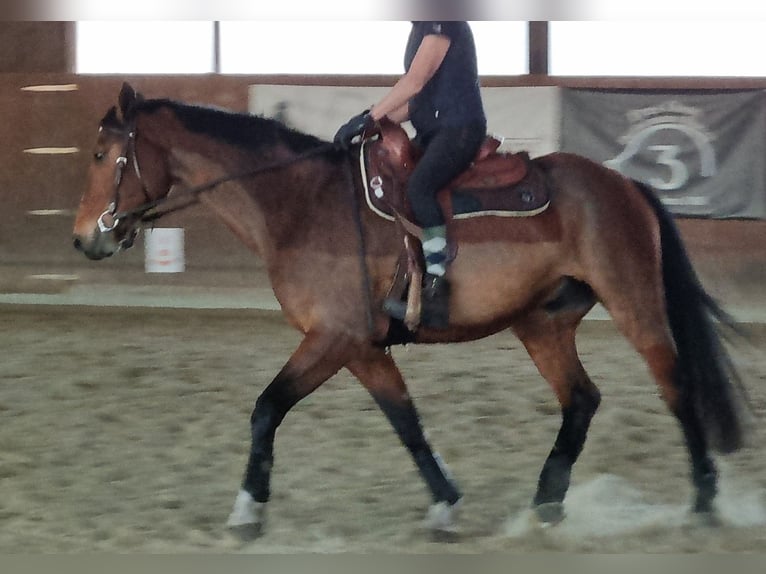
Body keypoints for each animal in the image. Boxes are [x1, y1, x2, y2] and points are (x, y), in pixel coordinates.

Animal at [73, 83, 749, 538]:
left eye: (104, 155)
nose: (84, 238)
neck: (300, 203)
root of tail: (624, 184)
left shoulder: (333, 338)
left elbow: (267, 410)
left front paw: (247, 509)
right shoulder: (360, 347)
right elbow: (407, 423)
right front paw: (445, 502)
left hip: (634, 304)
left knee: (675, 386)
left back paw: (704, 504)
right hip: (541, 322)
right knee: (581, 399)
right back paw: (546, 504)